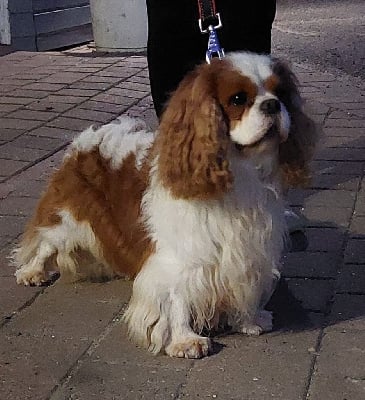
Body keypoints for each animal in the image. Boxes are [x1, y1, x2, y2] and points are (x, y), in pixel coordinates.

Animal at [12, 51, 316, 358]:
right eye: (238, 99)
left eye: (281, 93)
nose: (272, 105)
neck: (241, 171)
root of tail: (89, 138)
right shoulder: (181, 258)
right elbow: (177, 298)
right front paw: (185, 340)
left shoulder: (248, 249)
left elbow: (244, 282)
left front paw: (250, 320)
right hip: (67, 219)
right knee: (45, 243)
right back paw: (32, 272)